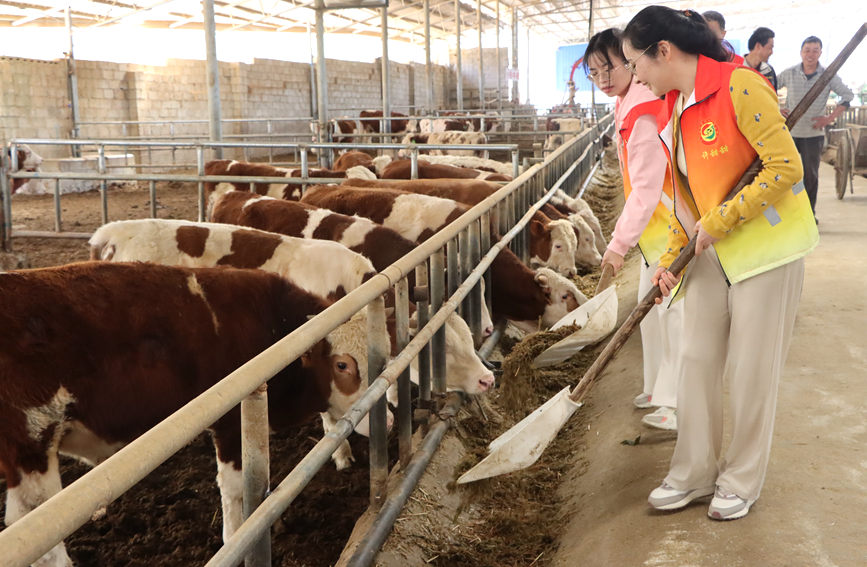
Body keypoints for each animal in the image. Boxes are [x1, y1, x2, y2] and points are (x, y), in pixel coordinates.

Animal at [0, 260, 386, 564]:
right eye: (342, 364)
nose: (388, 417)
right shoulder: (231, 422)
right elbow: (235, 487)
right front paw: (238, 536)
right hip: (32, 446)